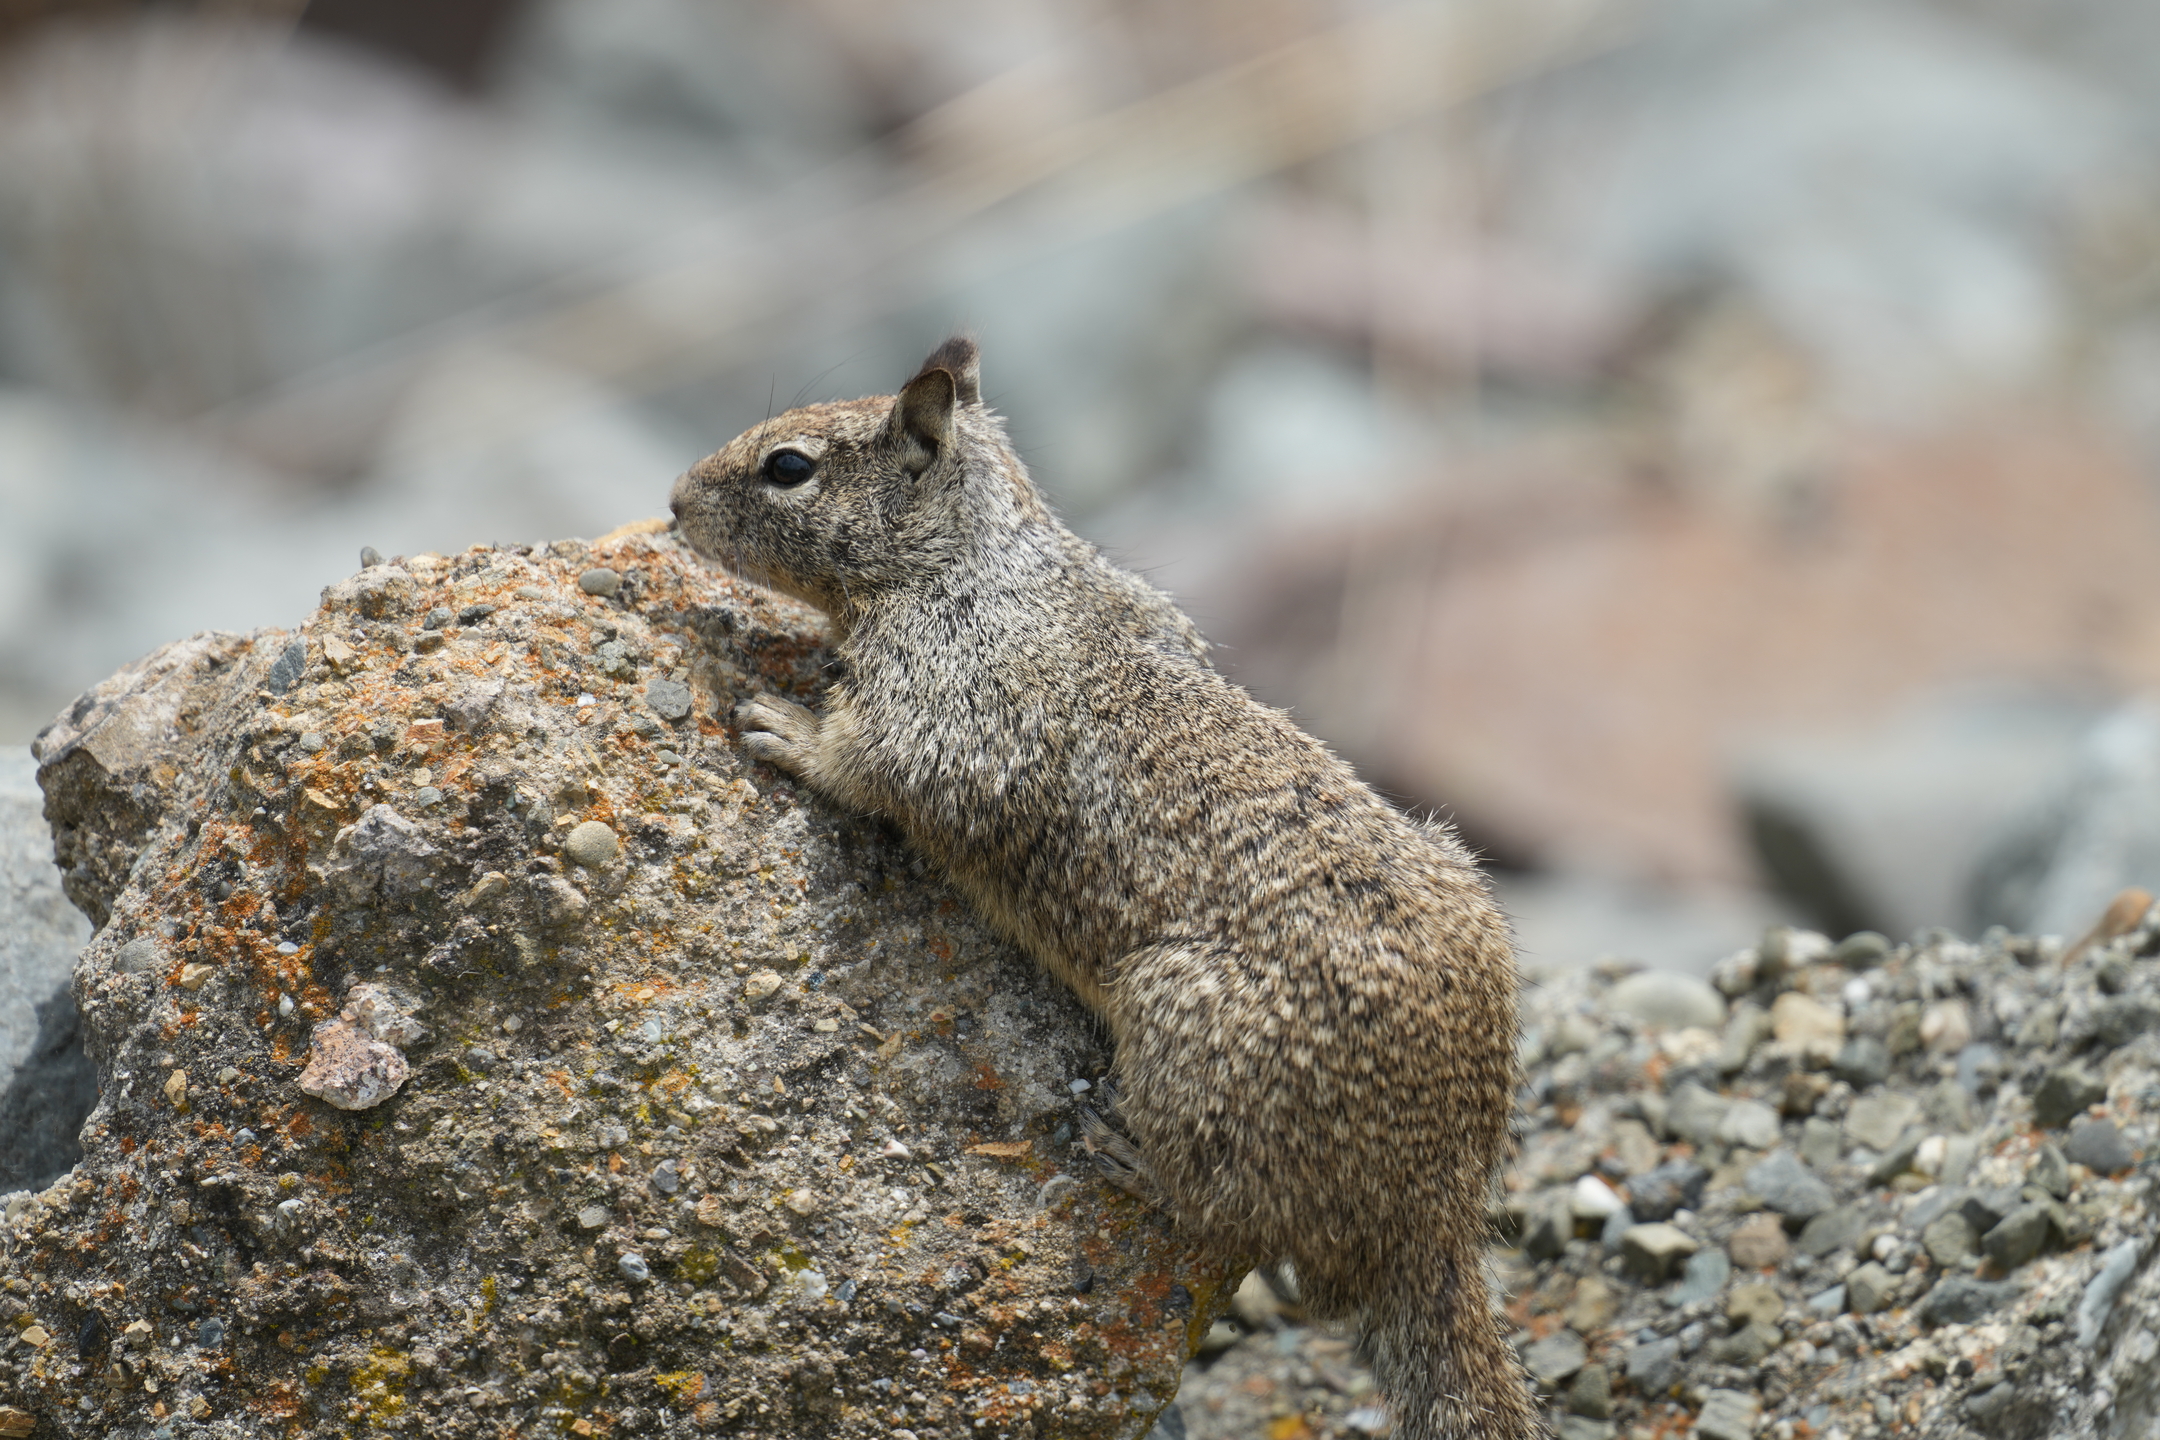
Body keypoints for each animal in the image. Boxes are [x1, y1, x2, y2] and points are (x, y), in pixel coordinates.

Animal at [669, 339, 1538, 1440]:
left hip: (1182, 1029)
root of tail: (1435, 1217)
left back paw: (1131, 1162)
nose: (671, 504)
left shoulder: (948, 711)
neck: (976, 559)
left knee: (1237, 1225)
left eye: (788, 467)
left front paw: (786, 726)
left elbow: (874, 765)